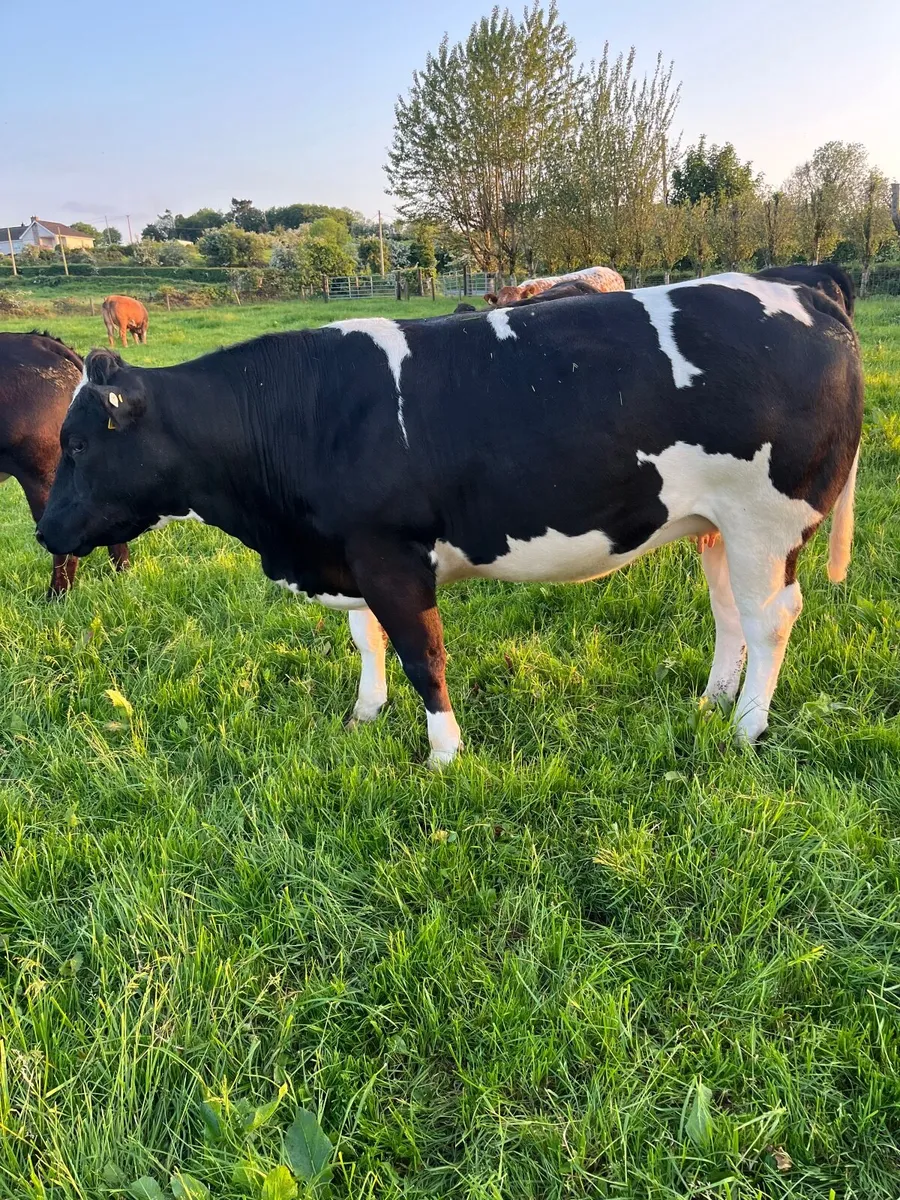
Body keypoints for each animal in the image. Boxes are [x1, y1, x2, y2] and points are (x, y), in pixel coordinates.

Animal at [37, 272, 863, 767]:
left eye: (77, 443)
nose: (43, 531)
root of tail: (804, 286)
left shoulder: (393, 555)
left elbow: (421, 654)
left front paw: (442, 753)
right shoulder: (349, 549)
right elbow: (366, 641)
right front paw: (364, 715)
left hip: (767, 520)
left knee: (771, 618)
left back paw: (746, 727)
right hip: (715, 523)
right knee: (729, 612)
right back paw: (712, 701)